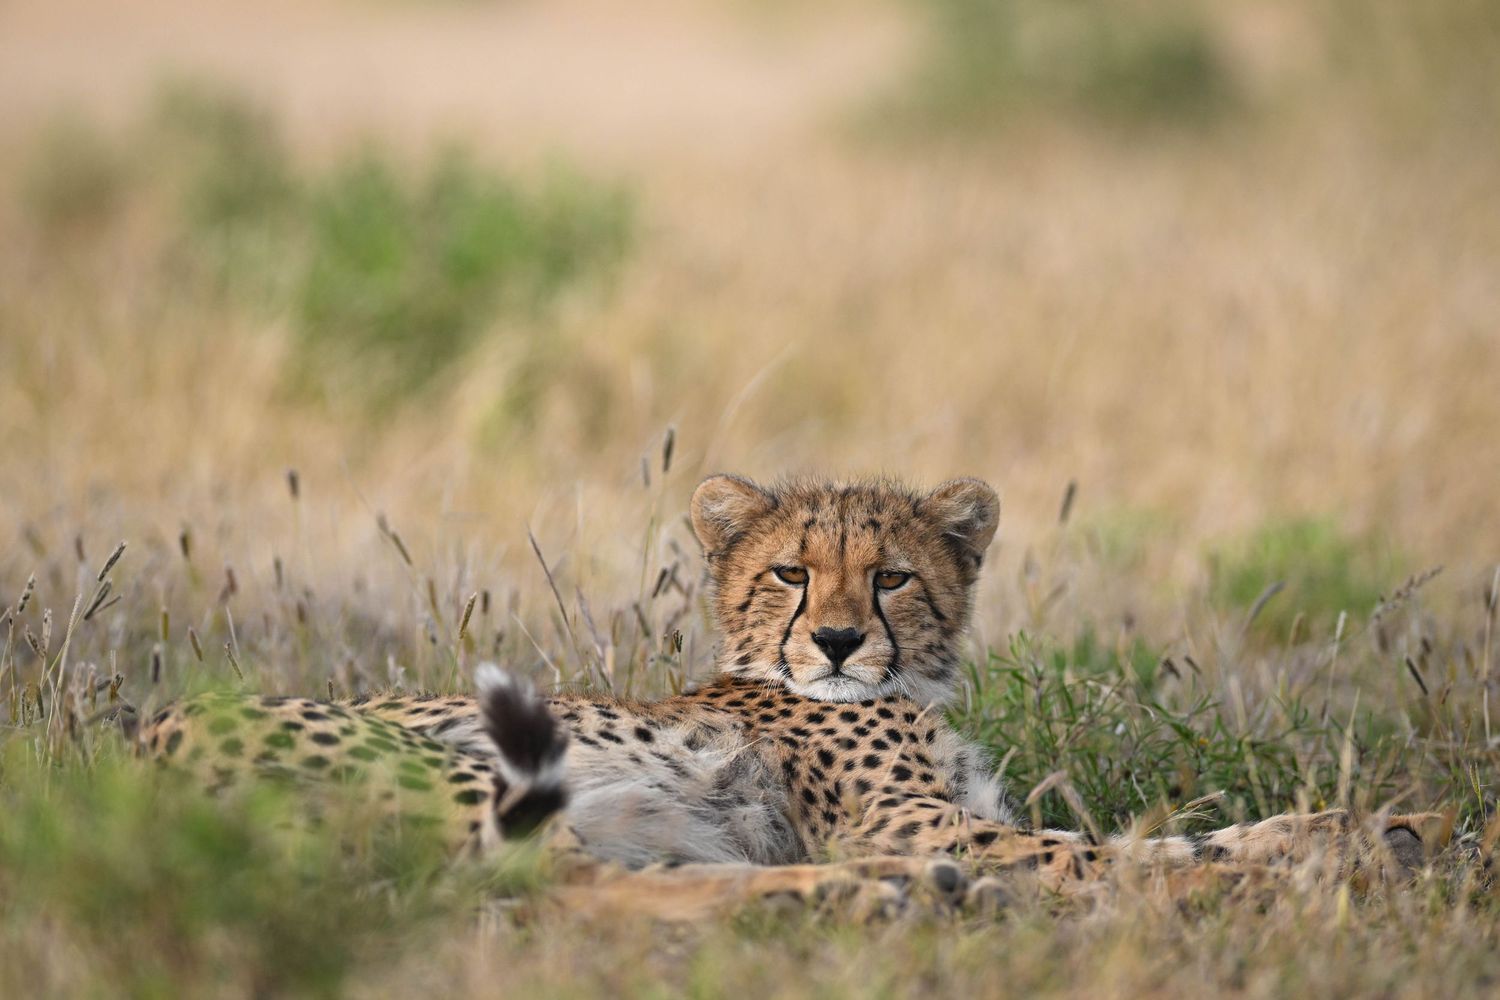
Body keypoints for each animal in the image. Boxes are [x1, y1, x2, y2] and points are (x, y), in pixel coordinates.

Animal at [137, 474, 1443, 913]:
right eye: (790, 571)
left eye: (893, 573)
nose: (838, 639)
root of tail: (138, 745)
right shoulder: (907, 814)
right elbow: (1104, 852)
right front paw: (1293, 865)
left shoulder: (957, 810)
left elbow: (1160, 835)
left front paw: (1368, 829)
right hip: (458, 763)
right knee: (567, 893)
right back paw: (880, 894)